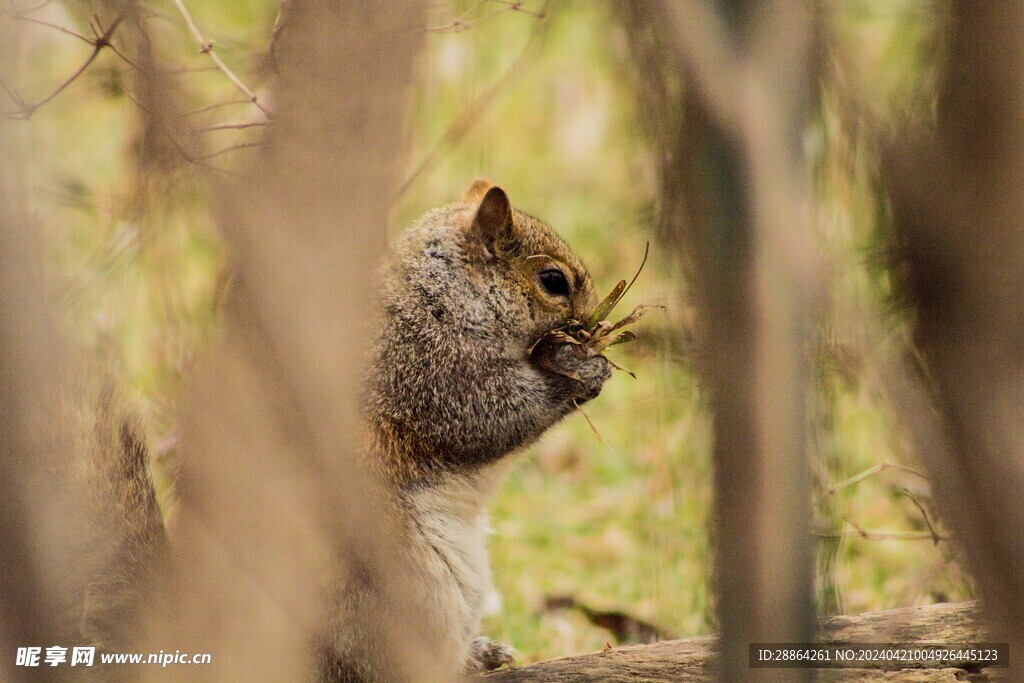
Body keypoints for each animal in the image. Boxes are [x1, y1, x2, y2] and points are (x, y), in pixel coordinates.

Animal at [79, 179, 610, 679]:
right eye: (553, 281)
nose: (595, 321)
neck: (445, 291)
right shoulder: (428, 369)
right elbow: (490, 414)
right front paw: (581, 368)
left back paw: (479, 655)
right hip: (395, 596)